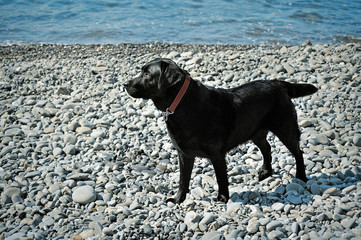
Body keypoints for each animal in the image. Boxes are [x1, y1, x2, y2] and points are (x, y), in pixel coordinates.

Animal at [124, 57, 316, 202]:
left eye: (147, 73)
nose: (125, 84)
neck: (182, 104)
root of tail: (279, 83)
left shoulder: (216, 154)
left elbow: (221, 178)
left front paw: (223, 198)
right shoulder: (184, 153)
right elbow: (183, 180)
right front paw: (178, 199)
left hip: (285, 128)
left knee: (298, 152)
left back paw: (301, 175)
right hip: (254, 130)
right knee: (266, 147)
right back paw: (265, 172)